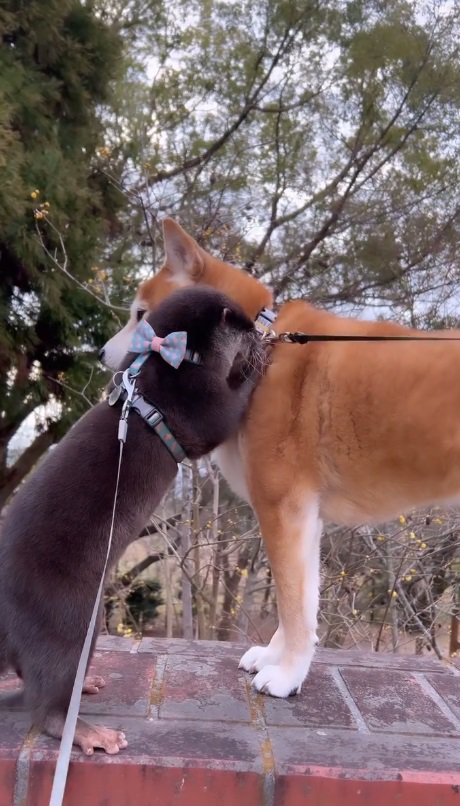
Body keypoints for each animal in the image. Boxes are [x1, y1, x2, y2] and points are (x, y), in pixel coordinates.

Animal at [0, 288, 264, 756]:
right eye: (244, 324)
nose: (259, 331)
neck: (166, 363)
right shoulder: (201, 400)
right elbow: (231, 410)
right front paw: (261, 362)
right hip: (68, 622)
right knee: (45, 704)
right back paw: (89, 733)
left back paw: (85, 688)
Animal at [101, 219, 460, 700]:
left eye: (140, 315)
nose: (101, 354)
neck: (263, 349)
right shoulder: (305, 518)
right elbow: (301, 604)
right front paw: (277, 657)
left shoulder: (282, 508)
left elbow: (291, 605)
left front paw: (288, 674)